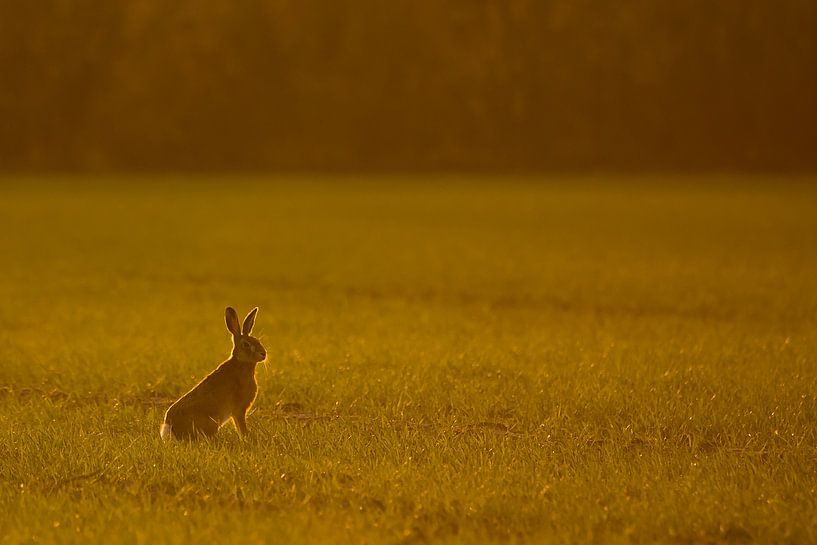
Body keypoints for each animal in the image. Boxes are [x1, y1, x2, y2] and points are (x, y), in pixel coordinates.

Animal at [160, 306, 267, 440]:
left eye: (257, 341)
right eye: (246, 344)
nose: (264, 354)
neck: (241, 363)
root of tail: (170, 427)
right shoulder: (238, 410)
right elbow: (241, 427)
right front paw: (246, 439)